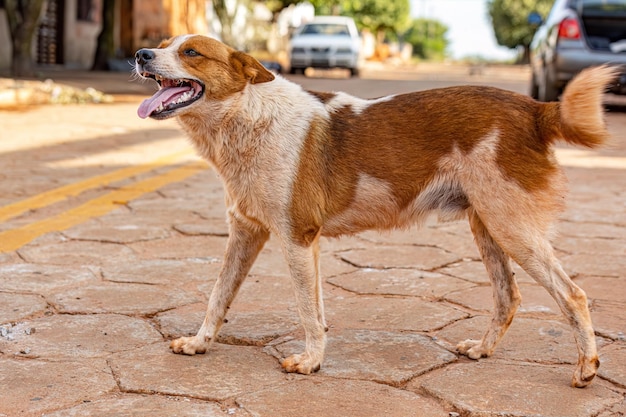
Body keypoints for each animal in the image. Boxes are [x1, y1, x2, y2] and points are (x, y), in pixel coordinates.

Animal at [135, 35, 616, 386]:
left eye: (191, 52)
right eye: (162, 43)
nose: (140, 54)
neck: (246, 116)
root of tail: (535, 108)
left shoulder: (298, 238)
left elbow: (307, 311)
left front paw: (311, 362)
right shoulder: (247, 233)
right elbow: (219, 296)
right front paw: (200, 343)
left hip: (511, 227)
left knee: (572, 294)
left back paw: (587, 366)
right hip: (488, 226)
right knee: (507, 296)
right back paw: (483, 350)